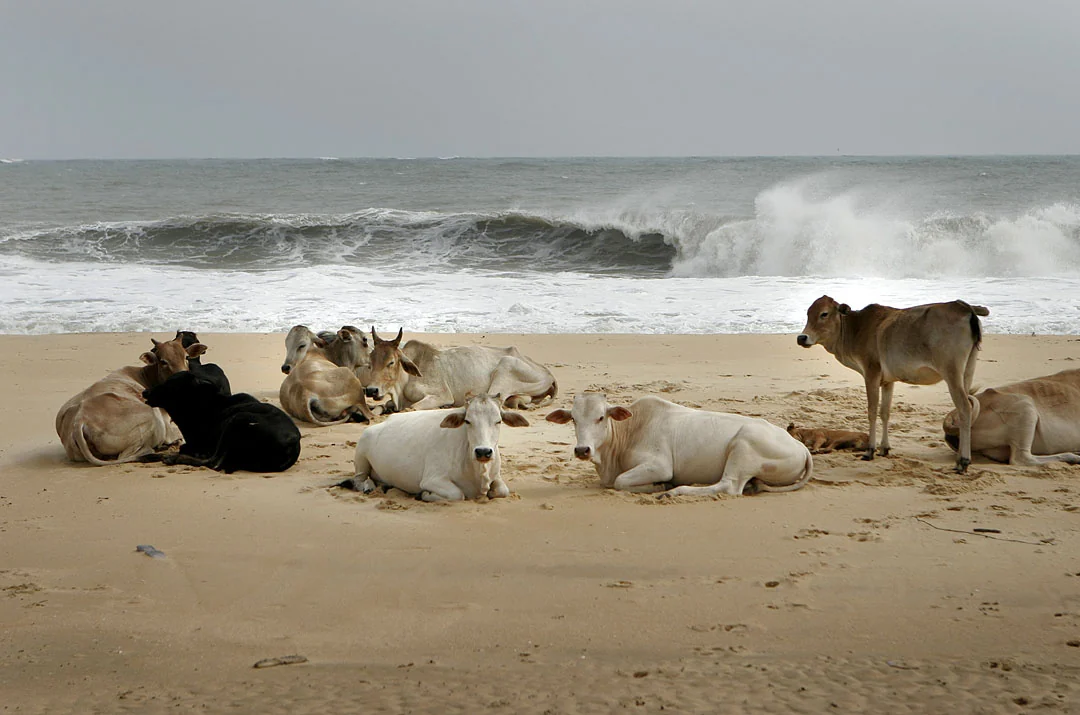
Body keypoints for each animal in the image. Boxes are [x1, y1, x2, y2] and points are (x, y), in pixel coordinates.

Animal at [142, 371, 301, 473]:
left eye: (171, 384)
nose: (145, 392)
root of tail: (293, 442)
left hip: (237, 420)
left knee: (213, 463)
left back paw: (169, 458)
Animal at [348, 393, 529, 501]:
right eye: (467, 421)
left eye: (498, 421)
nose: (483, 451)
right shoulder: (432, 479)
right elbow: (457, 494)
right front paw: (424, 494)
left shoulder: (496, 476)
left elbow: (502, 491)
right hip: (361, 455)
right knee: (359, 480)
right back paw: (369, 487)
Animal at [364, 327, 558, 413]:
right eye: (370, 362)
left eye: (391, 362)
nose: (371, 390)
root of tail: (548, 373)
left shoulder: (441, 394)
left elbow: (412, 408)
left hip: (506, 366)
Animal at [545, 394, 813, 497]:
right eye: (573, 419)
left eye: (601, 417)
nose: (582, 450)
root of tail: (801, 448)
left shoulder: (659, 465)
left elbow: (621, 482)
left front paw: (660, 485)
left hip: (743, 446)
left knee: (728, 486)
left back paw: (674, 491)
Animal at [797, 296, 989, 473]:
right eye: (808, 313)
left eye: (824, 314)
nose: (802, 337)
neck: (856, 328)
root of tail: (964, 307)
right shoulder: (888, 381)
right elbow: (885, 412)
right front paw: (884, 448)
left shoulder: (871, 373)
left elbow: (872, 411)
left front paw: (870, 451)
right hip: (968, 371)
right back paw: (958, 460)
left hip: (952, 373)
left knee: (965, 408)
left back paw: (964, 461)